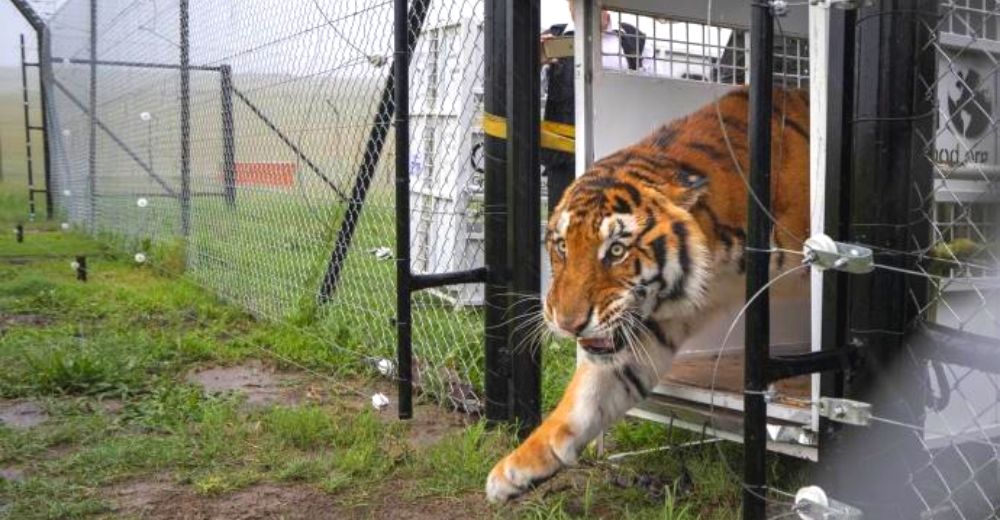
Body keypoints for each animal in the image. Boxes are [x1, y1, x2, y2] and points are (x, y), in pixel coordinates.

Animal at [484, 87, 812, 502]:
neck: (722, 263)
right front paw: (514, 471)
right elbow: (584, 400)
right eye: (561, 246)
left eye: (616, 251)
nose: (569, 324)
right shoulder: (650, 329)